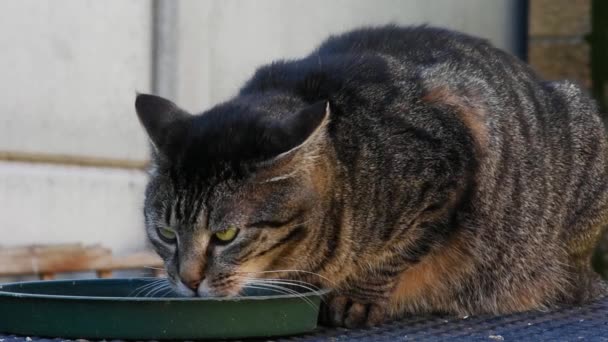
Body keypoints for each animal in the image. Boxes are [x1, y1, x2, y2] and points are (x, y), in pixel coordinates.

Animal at [134, 25, 608, 328]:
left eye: (227, 235)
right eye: (166, 233)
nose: (188, 280)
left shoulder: (448, 170)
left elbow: (398, 251)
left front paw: (357, 298)